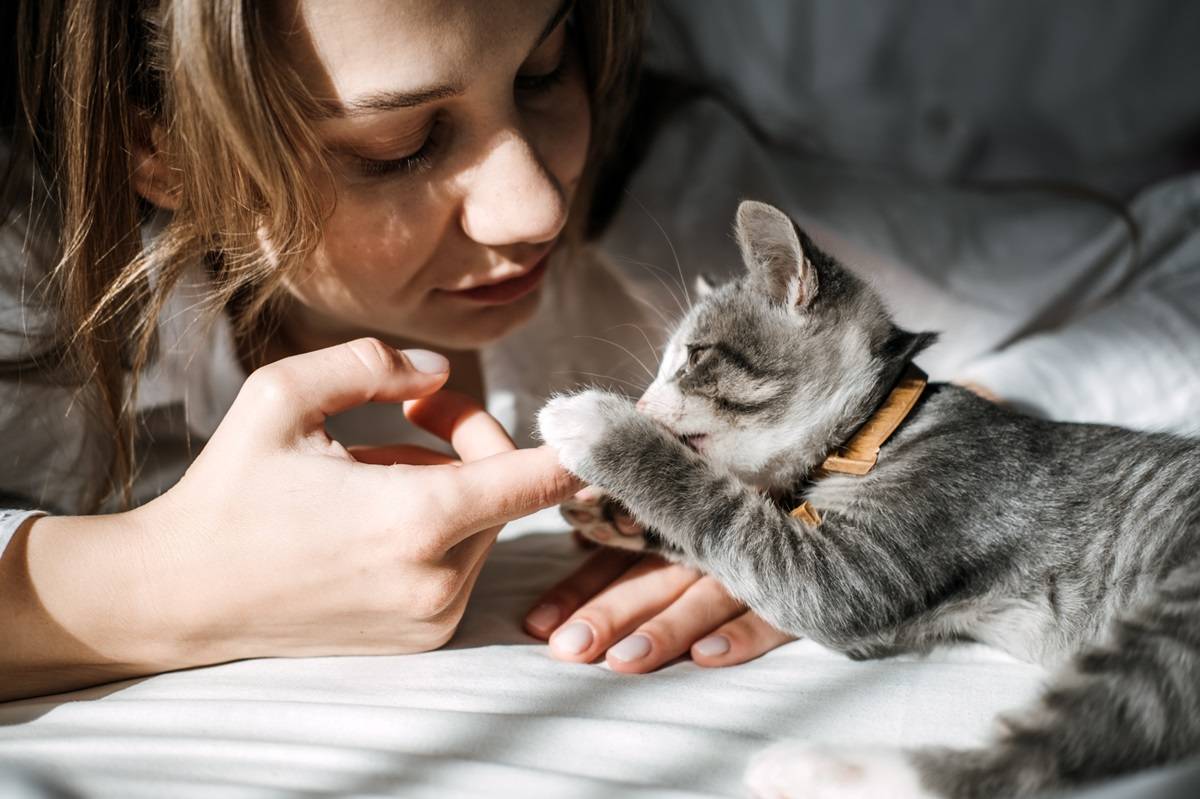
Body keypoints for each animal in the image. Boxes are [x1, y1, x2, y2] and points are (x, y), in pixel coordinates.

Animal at [540, 200, 1200, 796]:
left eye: (695, 357)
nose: (642, 402)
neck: (877, 430)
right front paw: (609, 513)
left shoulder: (856, 571)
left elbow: (726, 514)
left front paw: (599, 425)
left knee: (1044, 755)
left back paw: (824, 769)